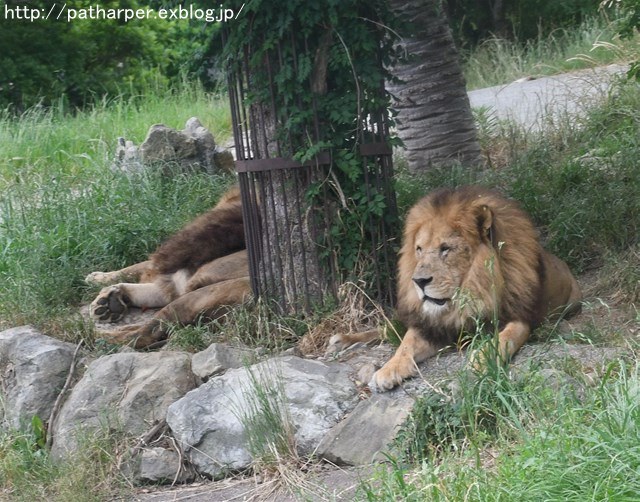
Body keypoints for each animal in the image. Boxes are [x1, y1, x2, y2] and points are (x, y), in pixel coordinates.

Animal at [87, 186, 250, 348]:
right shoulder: (178, 284)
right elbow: (140, 281)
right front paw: (107, 292)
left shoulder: (184, 282)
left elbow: (139, 267)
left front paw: (100, 283)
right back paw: (110, 309)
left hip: (202, 295)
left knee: (140, 335)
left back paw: (95, 336)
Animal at [332, 185, 584, 392]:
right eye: (419, 249)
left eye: (446, 248)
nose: (418, 281)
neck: (470, 293)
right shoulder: (431, 326)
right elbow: (405, 344)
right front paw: (388, 370)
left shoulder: (519, 317)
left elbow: (503, 339)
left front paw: (480, 361)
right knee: (390, 328)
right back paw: (341, 340)